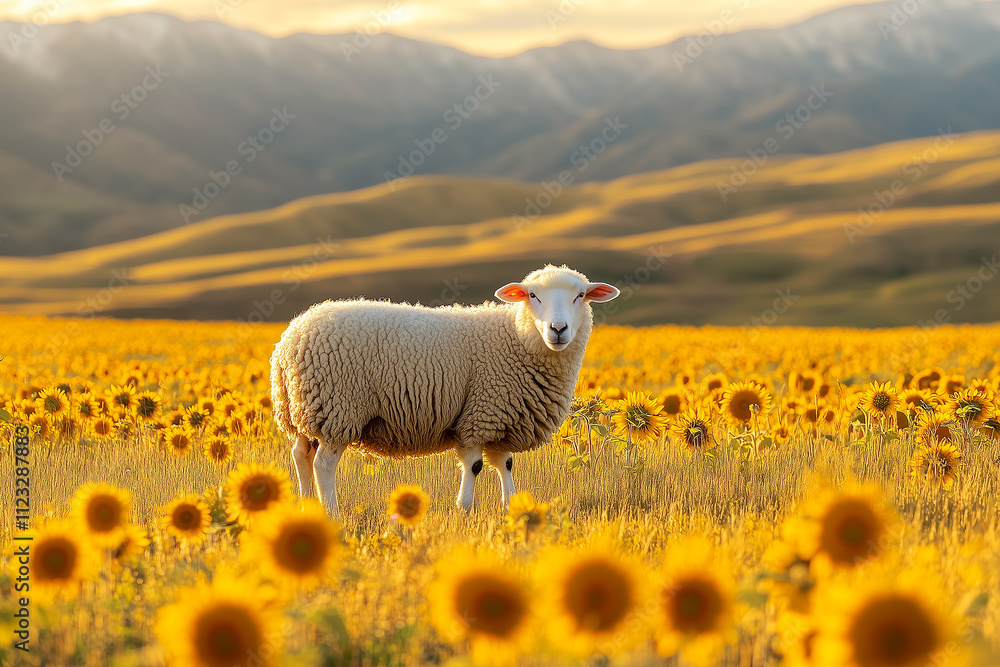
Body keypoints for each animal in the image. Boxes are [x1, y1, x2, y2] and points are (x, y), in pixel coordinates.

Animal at [269, 265, 619, 517]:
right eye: (532, 295)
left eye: (580, 295)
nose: (558, 329)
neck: (516, 336)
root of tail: (288, 342)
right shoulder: (481, 413)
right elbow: (475, 466)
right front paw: (463, 508)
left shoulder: (500, 415)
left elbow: (505, 464)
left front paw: (512, 507)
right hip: (337, 408)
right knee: (323, 464)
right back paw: (332, 513)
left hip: (305, 409)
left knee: (301, 455)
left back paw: (308, 507)